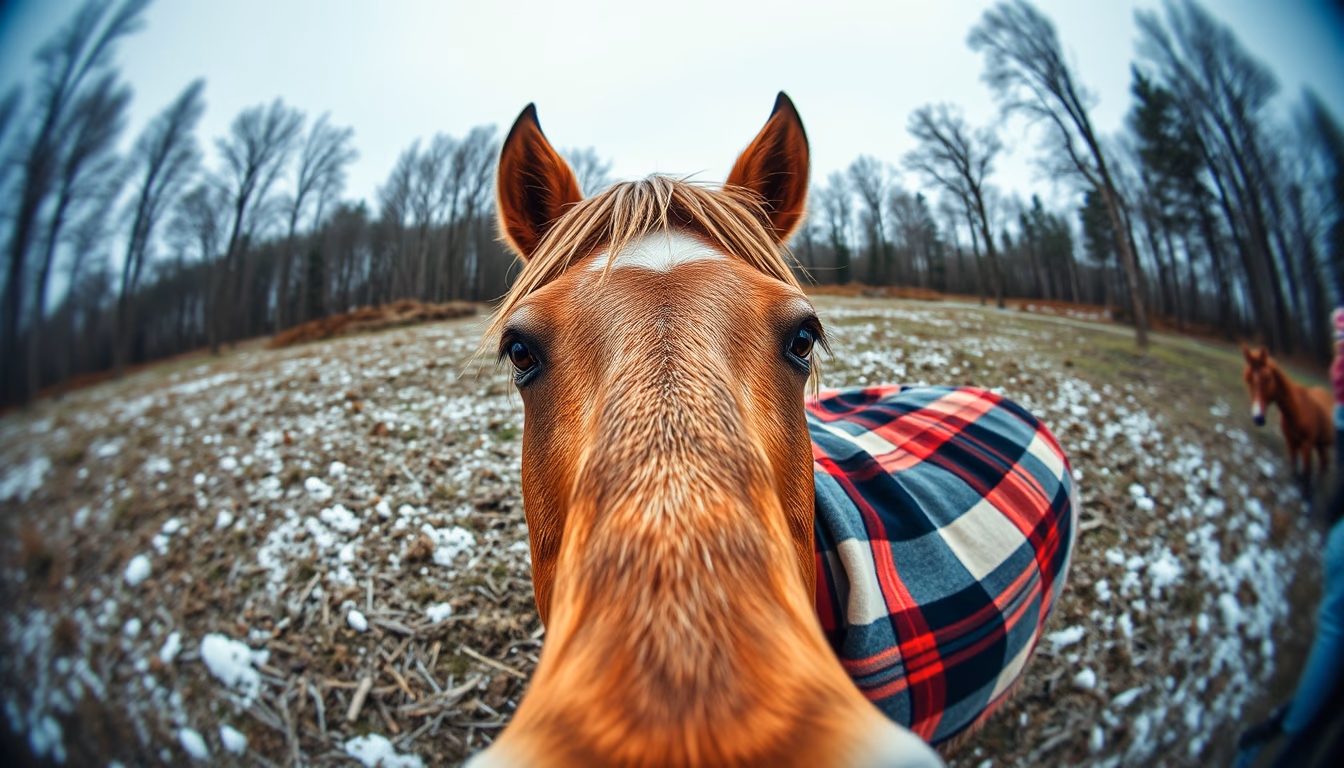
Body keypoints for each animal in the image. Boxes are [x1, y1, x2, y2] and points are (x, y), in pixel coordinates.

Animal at [1242, 345, 1335, 493]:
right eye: (1248, 379)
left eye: (1267, 378)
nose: (1258, 418)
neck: (1299, 410)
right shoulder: (1291, 443)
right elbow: (1294, 471)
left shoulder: (1307, 445)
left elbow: (1306, 474)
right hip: (1320, 444)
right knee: (1324, 464)